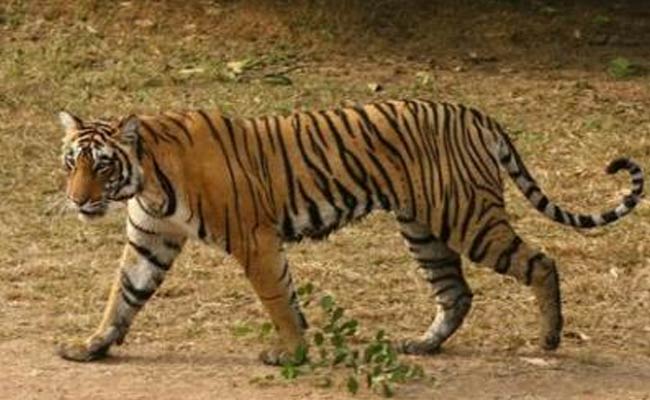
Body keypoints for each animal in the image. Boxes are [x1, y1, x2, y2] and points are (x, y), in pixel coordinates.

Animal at [56, 99, 644, 365]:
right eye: (71, 163)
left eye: (102, 165)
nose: (78, 200)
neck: (147, 180)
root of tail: (473, 112)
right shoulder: (150, 239)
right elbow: (123, 296)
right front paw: (91, 346)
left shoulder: (255, 239)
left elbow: (277, 299)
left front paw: (291, 353)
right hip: (423, 229)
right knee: (456, 292)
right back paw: (423, 344)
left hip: (469, 219)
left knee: (541, 262)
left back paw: (549, 338)